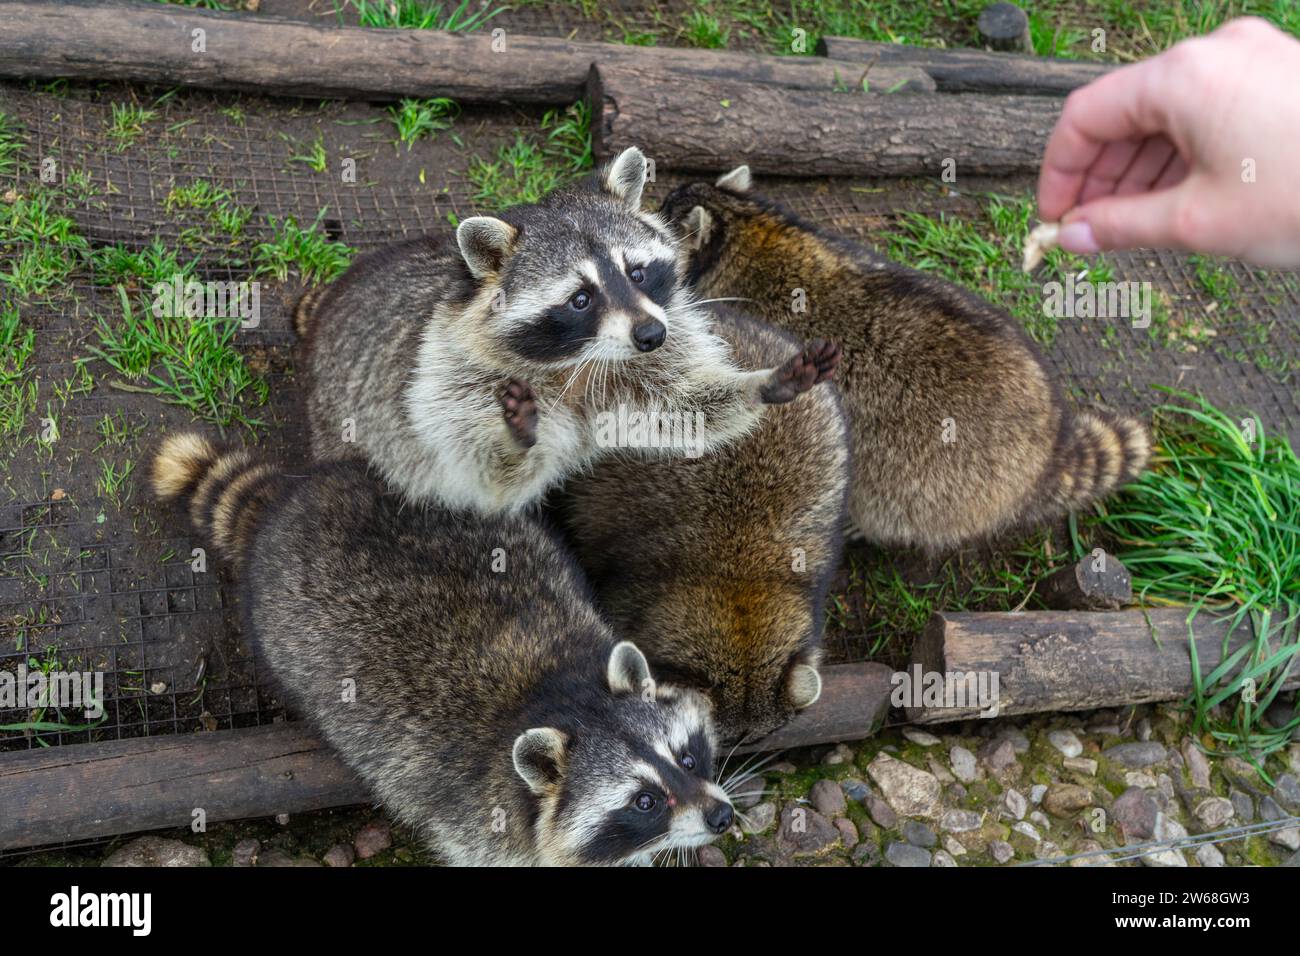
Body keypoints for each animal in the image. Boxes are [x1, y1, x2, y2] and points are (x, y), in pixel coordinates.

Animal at [151, 433, 735, 866]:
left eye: (687, 756)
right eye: (645, 801)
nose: (722, 817)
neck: (559, 693)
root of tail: (290, 500)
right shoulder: (480, 822)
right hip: (283, 635)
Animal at [296, 147, 839, 515]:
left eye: (637, 273)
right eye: (581, 299)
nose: (651, 336)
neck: (575, 359)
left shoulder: (643, 357)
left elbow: (681, 408)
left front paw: (760, 385)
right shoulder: (448, 378)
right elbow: (483, 473)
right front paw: (514, 438)